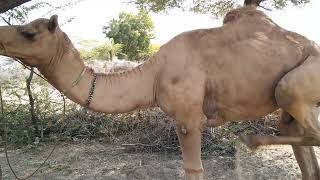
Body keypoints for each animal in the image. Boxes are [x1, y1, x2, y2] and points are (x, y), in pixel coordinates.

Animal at [0, 5, 320, 180]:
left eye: (29, 33)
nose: (1, 39)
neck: (152, 76)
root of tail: (311, 45)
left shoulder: (188, 119)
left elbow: (193, 170)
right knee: (304, 154)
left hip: (295, 84)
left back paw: (251, 139)